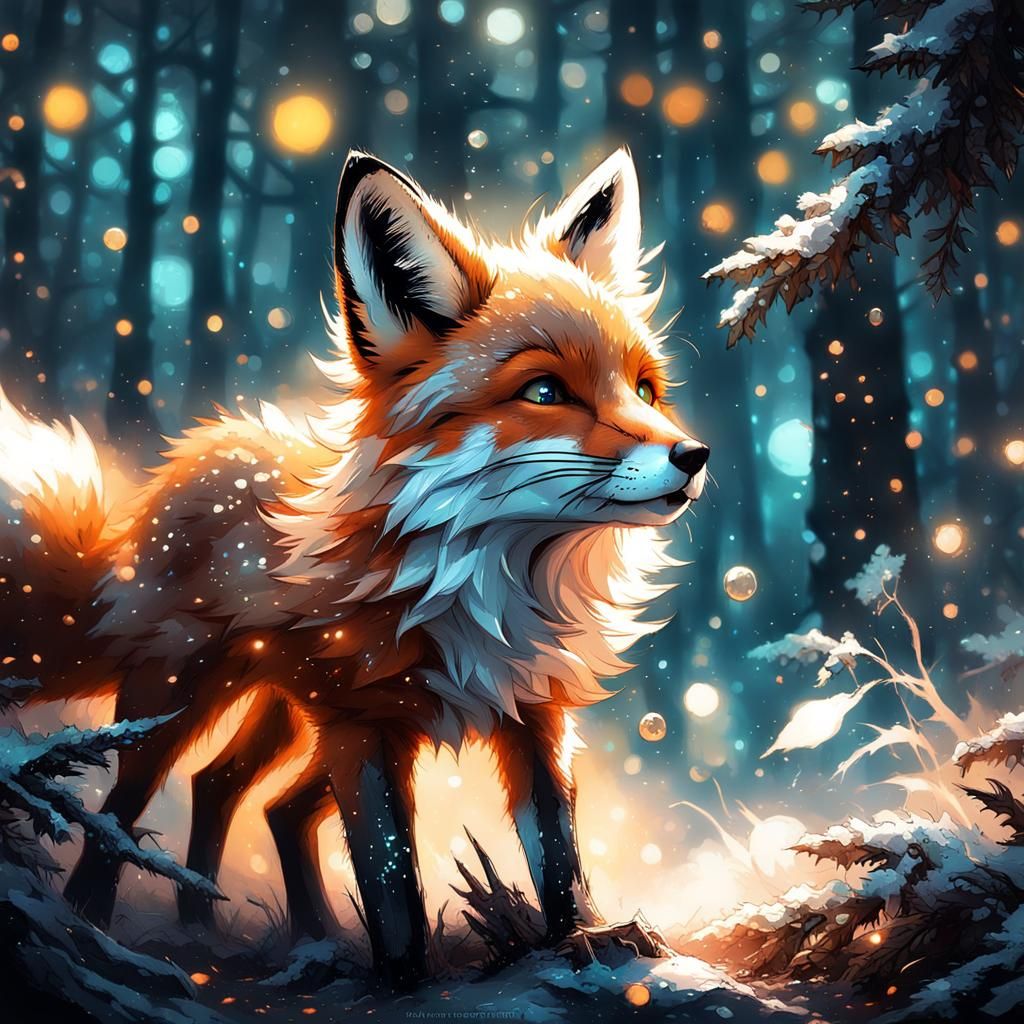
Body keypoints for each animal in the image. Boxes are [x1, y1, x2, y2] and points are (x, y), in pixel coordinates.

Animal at [0, 148, 709, 988]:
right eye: (545, 391)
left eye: (645, 389)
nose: (695, 456)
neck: (486, 589)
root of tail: (179, 465)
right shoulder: (363, 729)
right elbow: (392, 878)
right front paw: (406, 979)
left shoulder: (533, 713)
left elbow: (557, 857)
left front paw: (581, 942)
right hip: (182, 704)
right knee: (121, 813)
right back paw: (104, 926)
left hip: (288, 719)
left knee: (244, 794)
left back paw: (261, 931)